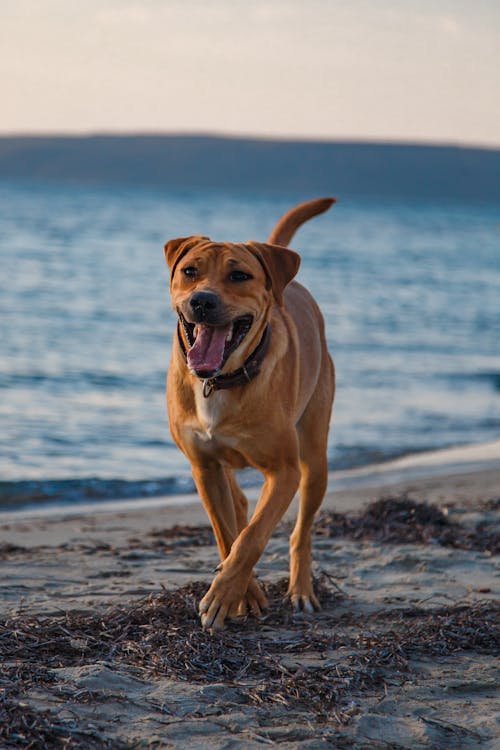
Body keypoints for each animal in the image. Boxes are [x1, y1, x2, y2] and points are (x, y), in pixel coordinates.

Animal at [165, 198, 336, 628]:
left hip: (314, 460)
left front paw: (225, 596)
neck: (220, 382)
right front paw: (244, 594)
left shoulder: (284, 472)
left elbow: (253, 538)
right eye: (190, 272)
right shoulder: (204, 467)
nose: (202, 300)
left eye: (239, 275)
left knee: (300, 532)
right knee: (239, 506)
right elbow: (227, 534)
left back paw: (302, 589)